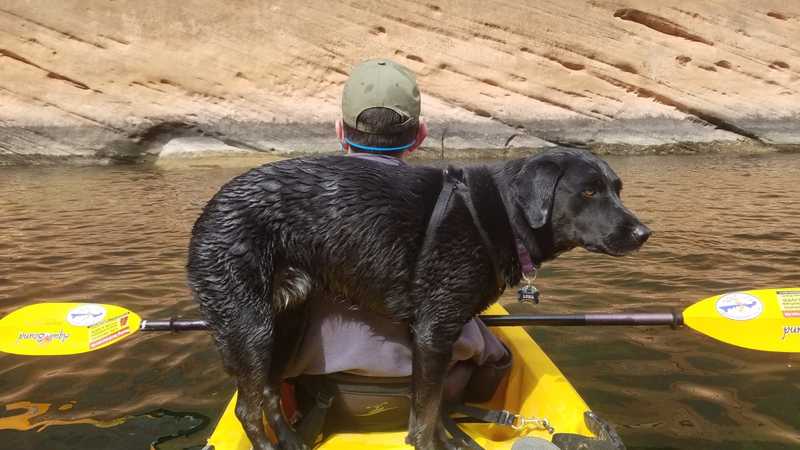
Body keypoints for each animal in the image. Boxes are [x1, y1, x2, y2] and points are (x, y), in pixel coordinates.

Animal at [188, 149, 648, 448]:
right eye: (587, 192)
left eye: (617, 189)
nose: (644, 233)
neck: (497, 214)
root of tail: (207, 212)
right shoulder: (435, 331)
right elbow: (424, 421)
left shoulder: (427, 339)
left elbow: (431, 408)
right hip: (250, 327)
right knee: (248, 410)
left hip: (284, 324)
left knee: (268, 394)